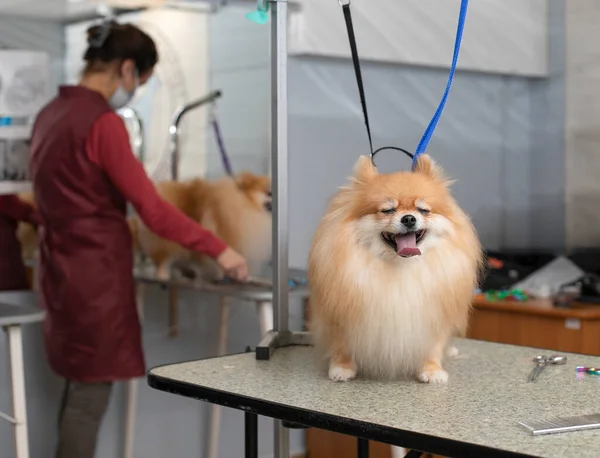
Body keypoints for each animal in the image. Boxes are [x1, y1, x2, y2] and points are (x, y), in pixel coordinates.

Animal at [135, 171, 272, 280]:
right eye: (269, 193)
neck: (245, 203)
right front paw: (222, 274)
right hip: (167, 242)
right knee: (162, 258)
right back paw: (163, 274)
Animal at [310, 154, 482, 382]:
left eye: (423, 210)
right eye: (387, 210)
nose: (409, 218)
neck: (401, 266)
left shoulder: (433, 314)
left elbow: (433, 345)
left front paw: (432, 370)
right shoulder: (342, 311)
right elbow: (342, 343)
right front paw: (342, 367)